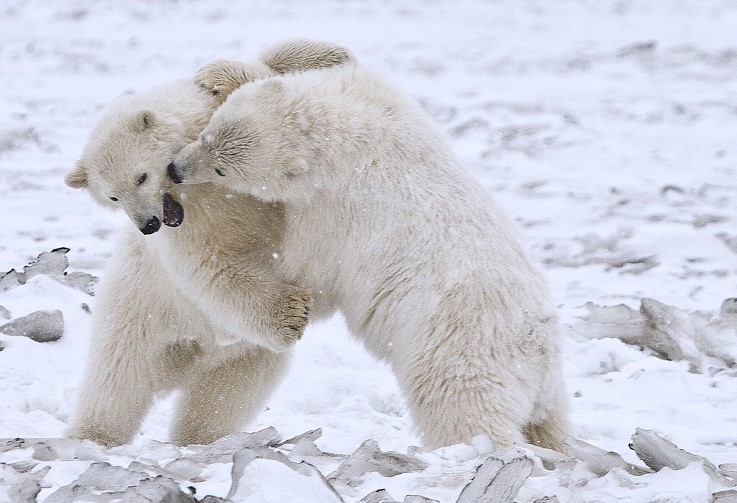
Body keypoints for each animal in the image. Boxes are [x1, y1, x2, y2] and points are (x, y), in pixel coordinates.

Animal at [62, 40, 354, 448]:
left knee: (221, 398)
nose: (148, 225)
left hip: (244, 357)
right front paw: (291, 314)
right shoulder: (190, 227)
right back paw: (92, 436)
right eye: (112, 196)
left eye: (141, 176)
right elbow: (209, 265)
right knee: (115, 381)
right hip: (135, 315)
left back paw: (198, 438)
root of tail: (187, 358)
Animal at [171, 61, 568, 450]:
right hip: (545, 385)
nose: (175, 170)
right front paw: (219, 75)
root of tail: (539, 345)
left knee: (461, 406)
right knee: (549, 423)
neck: (349, 137)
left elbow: (307, 267)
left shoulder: (335, 211)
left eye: (221, 169)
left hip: (459, 346)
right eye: (206, 135)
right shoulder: (388, 101)